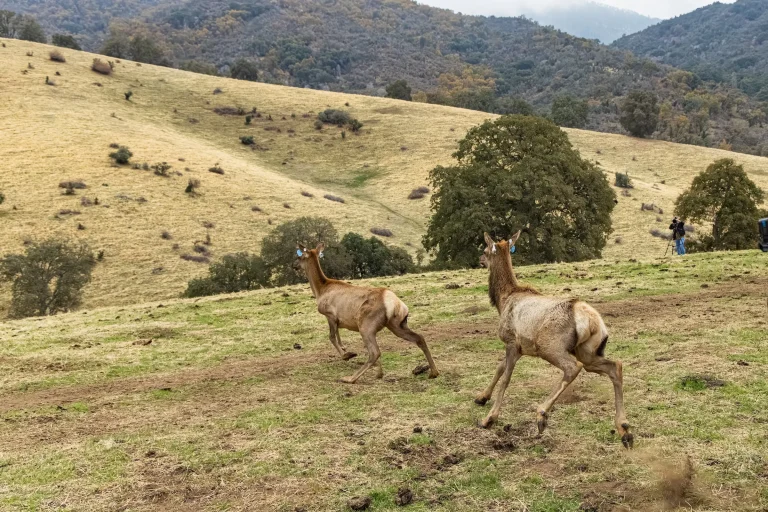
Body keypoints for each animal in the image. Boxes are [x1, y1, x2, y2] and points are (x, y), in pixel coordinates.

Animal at [294, 242, 439, 384]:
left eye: (300, 257)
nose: (293, 265)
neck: (320, 290)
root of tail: (394, 303)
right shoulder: (338, 320)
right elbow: (338, 336)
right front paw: (345, 349)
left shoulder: (329, 314)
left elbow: (332, 337)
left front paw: (347, 355)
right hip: (397, 324)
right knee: (419, 338)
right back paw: (433, 372)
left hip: (365, 325)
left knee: (375, 352)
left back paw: (350, 378)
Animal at [475, 231, 633, 448]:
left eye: (484, 250)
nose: (479, 260)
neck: (502, 300)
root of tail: (591, 320)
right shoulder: (520, 347)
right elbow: (499, 368)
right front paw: (481, 397)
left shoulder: (511, 341)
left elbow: (506, 377)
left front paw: (489, 418)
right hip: (588, 352)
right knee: (615, 366)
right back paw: (624, 429)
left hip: (550, 346)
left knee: (572, 367)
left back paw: (541, 414)